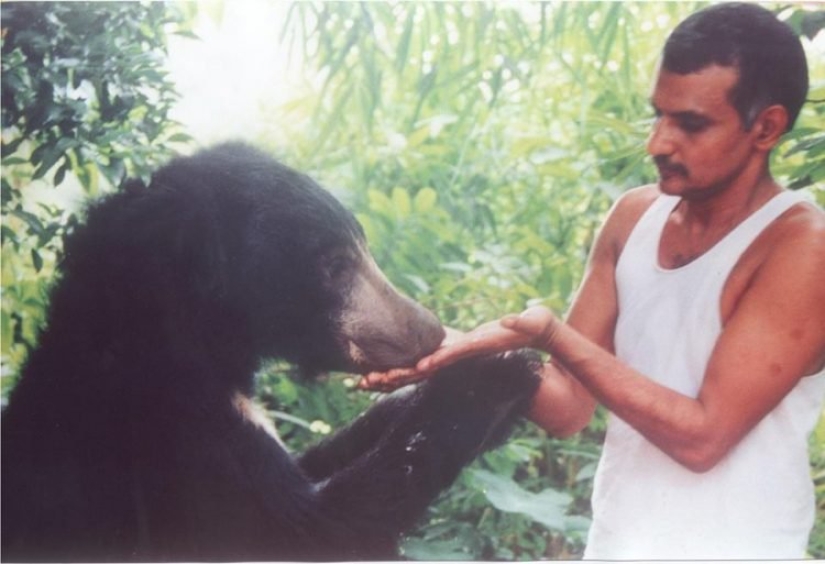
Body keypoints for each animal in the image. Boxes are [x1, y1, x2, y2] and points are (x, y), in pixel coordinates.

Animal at [1, 143, 540, 560]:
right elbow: (309, 528)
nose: (431, 332)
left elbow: (312, 465)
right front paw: (493, 373)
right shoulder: (170, 443)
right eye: (336, 265)